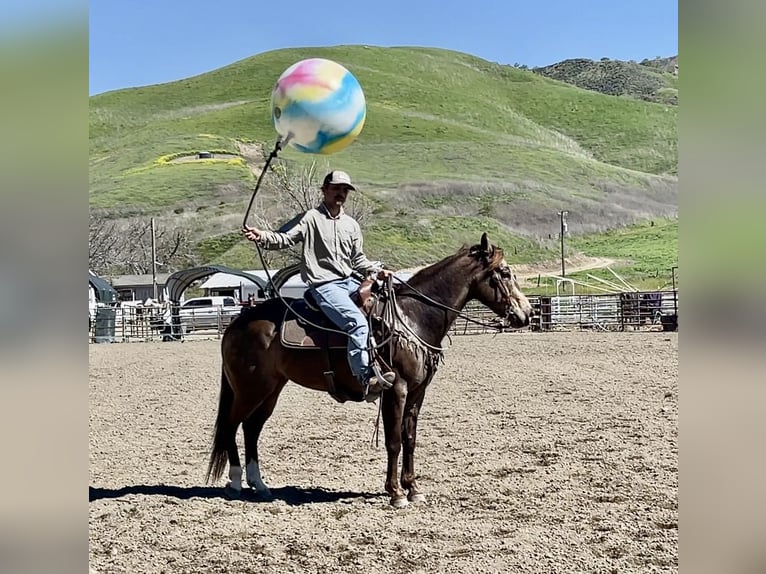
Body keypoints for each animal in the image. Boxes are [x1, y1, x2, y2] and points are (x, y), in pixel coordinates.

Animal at [207, 234, 536, 508]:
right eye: (505, 273)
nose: (527, 314)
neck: (411, 317)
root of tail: (237, 323)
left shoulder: (418, 392)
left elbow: (410, 439)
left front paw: (413, 488)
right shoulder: (396, 389)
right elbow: (393, 441)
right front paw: (395, 493)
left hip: (271, 390)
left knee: (251, 428)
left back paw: (260, 485)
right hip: (249, 390)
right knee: (232, 426)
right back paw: (235, 483)